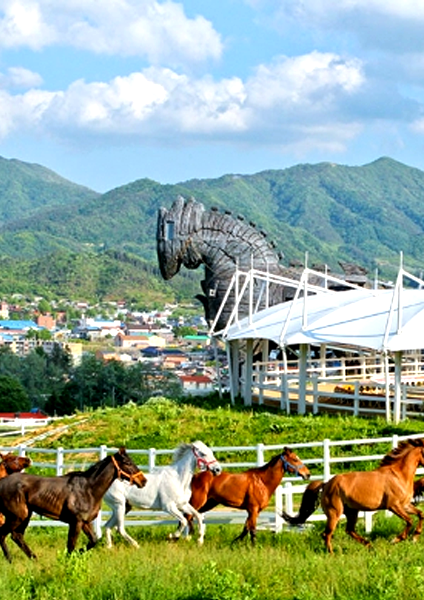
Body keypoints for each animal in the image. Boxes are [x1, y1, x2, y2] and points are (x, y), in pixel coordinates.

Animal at [0, 446, 147, 564]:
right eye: (127, 462)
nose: (143, 481)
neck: (88, 489)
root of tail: (2, 482)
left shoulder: (85, 522)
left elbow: (93, 541)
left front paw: (75, 554)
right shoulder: (76, 522)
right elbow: (71, 545)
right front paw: (68, 559)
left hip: (25, 515)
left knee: (17, 536)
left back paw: (33, 559)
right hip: (17, 516)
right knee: (4, 534)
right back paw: (10, 560)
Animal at [282, 436, 424, 552]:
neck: (398, 475)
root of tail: (326, 484)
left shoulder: (404, 505)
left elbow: (420, 514)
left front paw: (415, 537)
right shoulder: (393, 506)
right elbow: (410, 520)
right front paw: (396, 539)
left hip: (352, 512)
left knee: (349, 530)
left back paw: (369, 545)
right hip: (334, 514)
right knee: (327, 534)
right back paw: (332, 554)